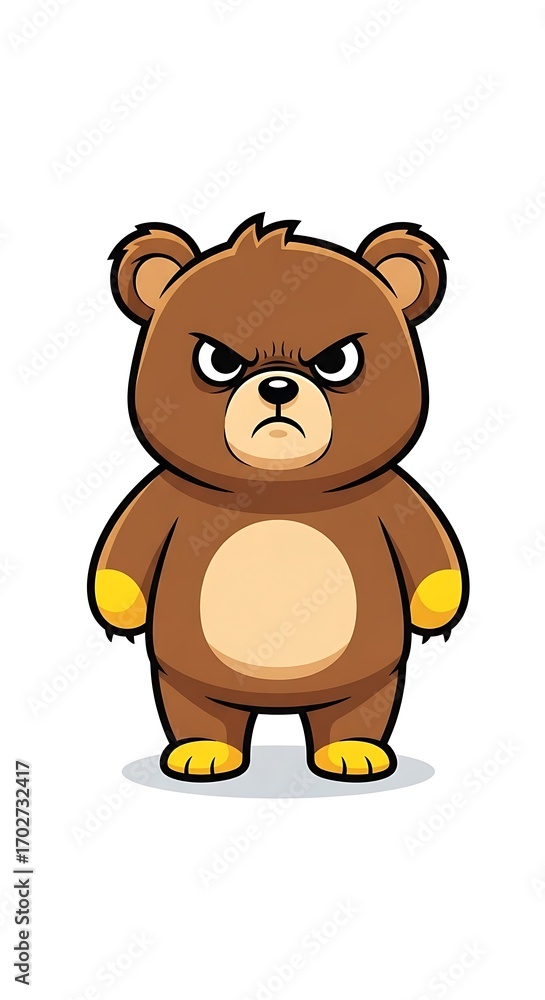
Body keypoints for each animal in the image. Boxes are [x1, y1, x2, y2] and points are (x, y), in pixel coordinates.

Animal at [88, 213, 469, 783]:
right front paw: (120, 610)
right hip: (183, 679)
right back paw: (203, 752)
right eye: (219, 360)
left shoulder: (391, 492)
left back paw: (353, 752)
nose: (278, 387)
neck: (278, 493)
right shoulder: (164, 492)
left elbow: (428, 549)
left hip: (371, 678)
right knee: (199, 709)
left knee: (357, 708)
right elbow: (128, 547)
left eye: (337, 361)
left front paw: (435, 609)